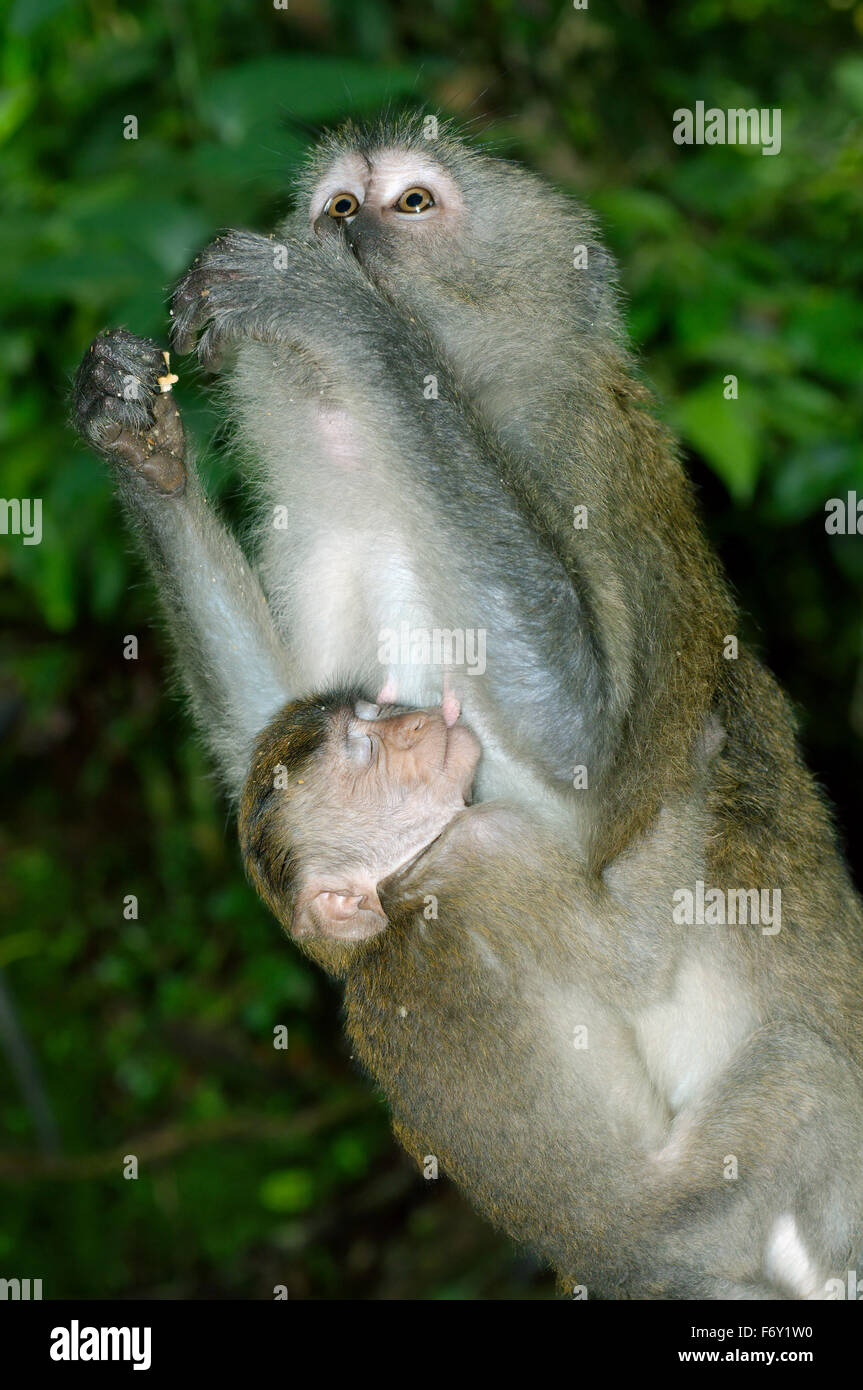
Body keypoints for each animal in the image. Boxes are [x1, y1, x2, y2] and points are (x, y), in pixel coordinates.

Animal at [236, 687, 863, 1299]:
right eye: (364, 750)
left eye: (371, 711)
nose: (411, 721)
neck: (397, 895)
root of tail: (625, 1270)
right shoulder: (492, 846)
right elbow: (634, 960)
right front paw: (696, 758)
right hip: (702, 1216)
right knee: (801, 1070)